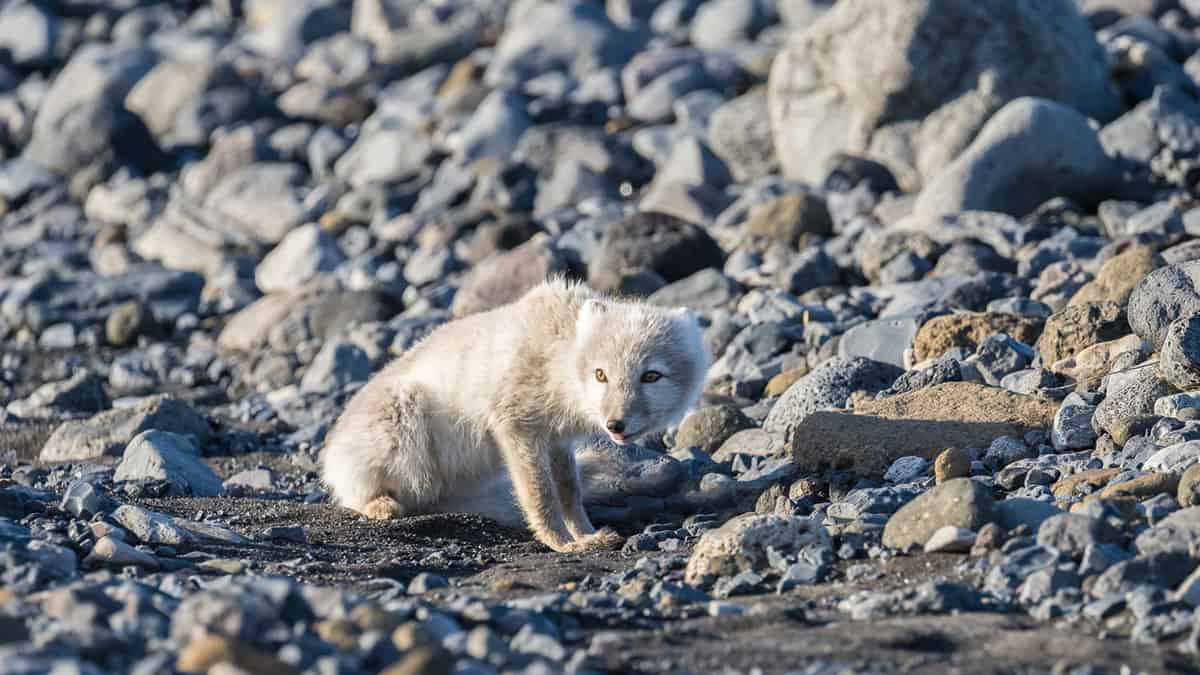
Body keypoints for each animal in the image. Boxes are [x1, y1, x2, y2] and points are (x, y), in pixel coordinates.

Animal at [321, 276, 710, 550]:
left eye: (651, 375)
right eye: (601, 375)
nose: (615, 424)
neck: (558, 358)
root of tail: (331, 453)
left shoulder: (558, 439)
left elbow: (569, 492)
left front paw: (587, 534)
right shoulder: (516, 425)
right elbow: (541, 494)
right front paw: (562, 545)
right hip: (404, 423)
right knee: (360, 495)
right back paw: (380, 505)